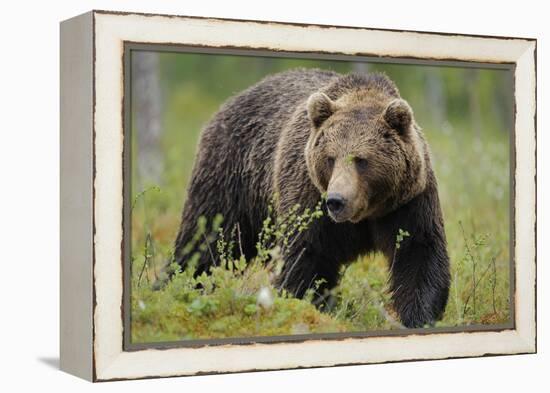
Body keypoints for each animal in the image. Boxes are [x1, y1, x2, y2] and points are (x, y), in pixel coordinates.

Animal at [175, 68, 450, 328]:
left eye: (361, 160)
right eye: (330, 158)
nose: (337, 201)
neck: (365, 214)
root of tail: (230, 101)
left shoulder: (408, 203)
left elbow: (419, 254)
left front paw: (418, 317)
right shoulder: (308, 197)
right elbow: (306, 257)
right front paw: (308, 306)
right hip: (231, 178)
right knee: (205, 241)